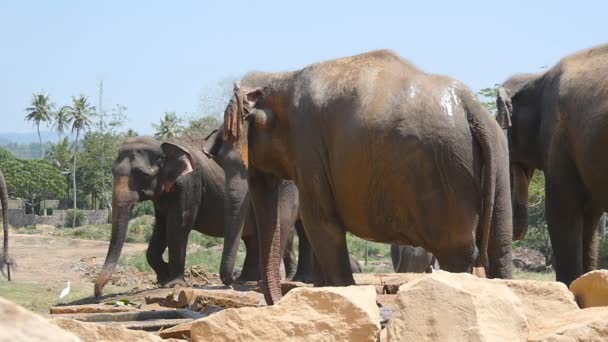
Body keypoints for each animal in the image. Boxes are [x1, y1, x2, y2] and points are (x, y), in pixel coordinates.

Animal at [94, 135, 300, 296]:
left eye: (142, 174)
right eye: (112, 171)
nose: (98, 294)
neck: (163, 144)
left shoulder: (188, 184)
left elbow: (178, 225)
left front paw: (173, 283)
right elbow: (160, 227)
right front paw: (163, 278)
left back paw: (249, 280)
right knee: (253, 239)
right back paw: (246, 279)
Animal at [223, 49, 512, 304]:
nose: (276, 301)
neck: (282, 76)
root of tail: (470, 106)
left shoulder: (309, 146)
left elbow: (320, 221)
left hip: (446, 175)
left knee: (456, 250)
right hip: (497, 159)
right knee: (499, 246)